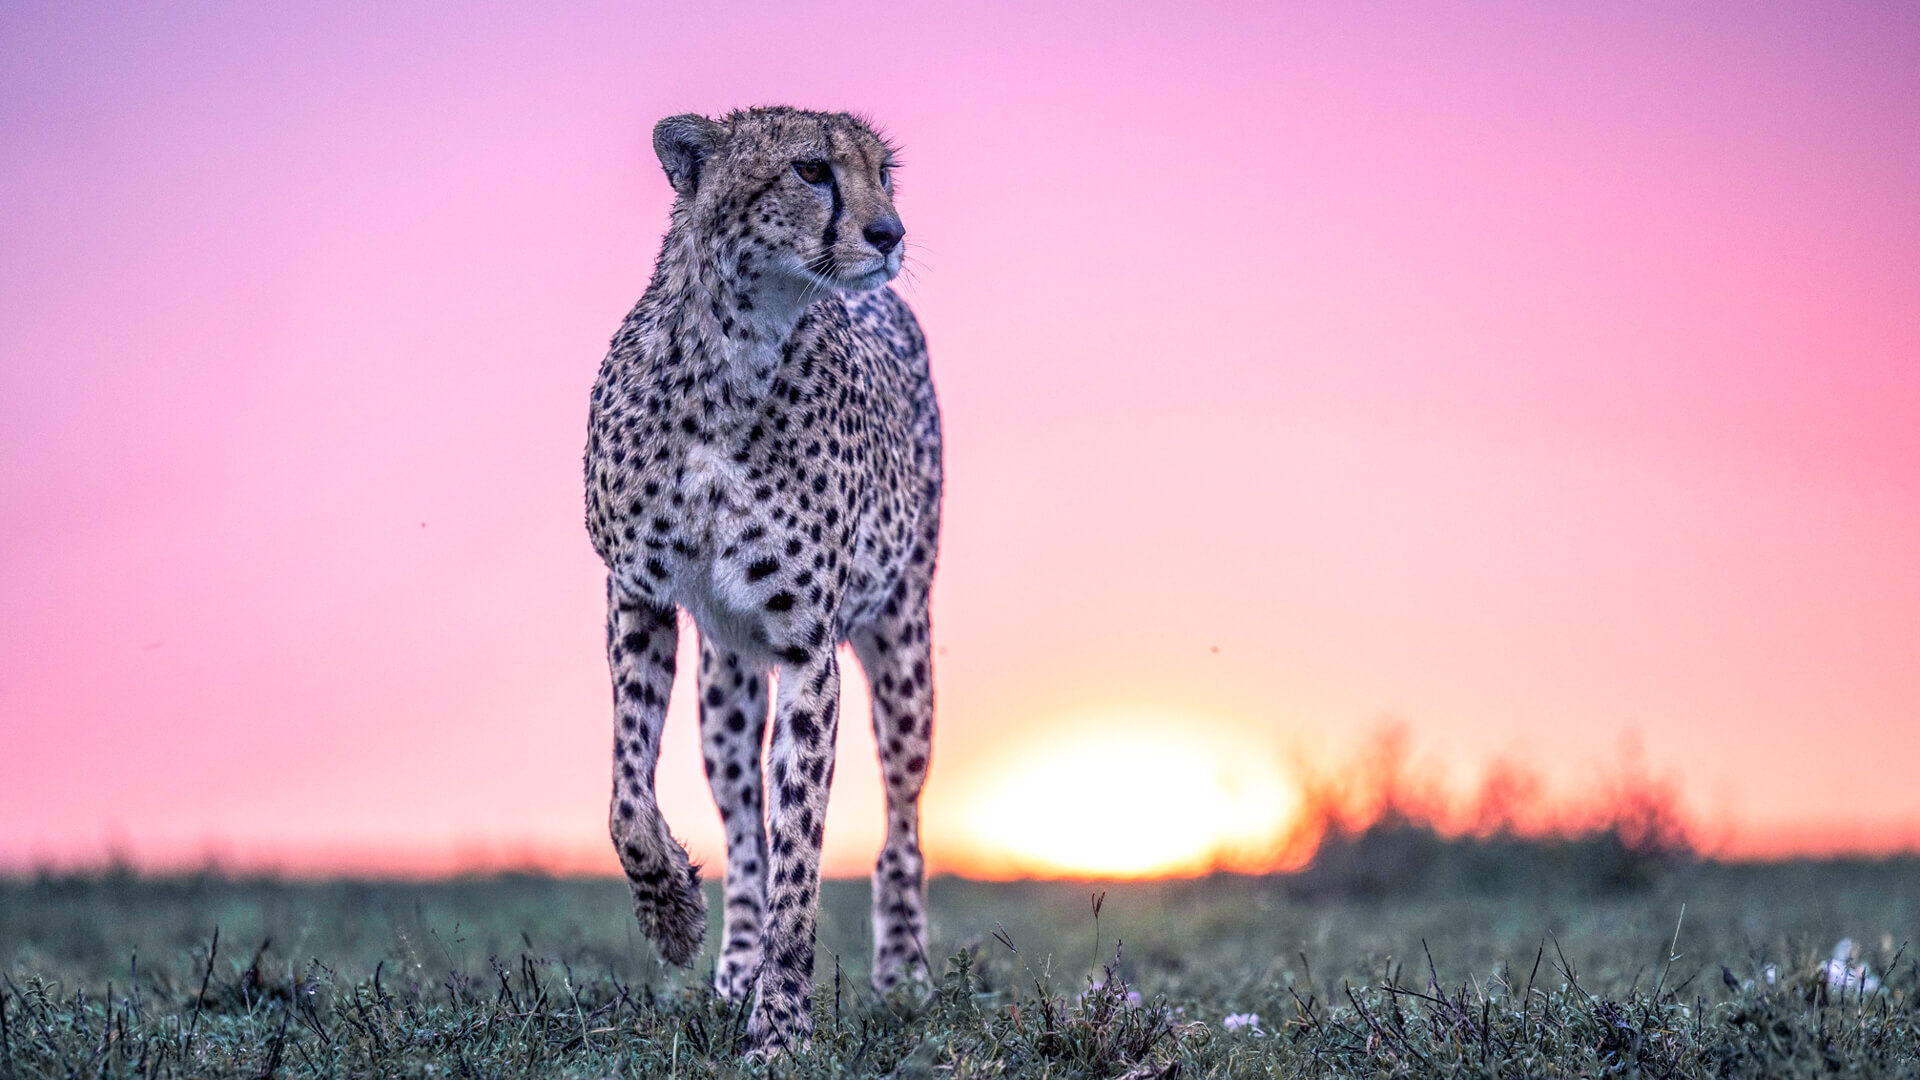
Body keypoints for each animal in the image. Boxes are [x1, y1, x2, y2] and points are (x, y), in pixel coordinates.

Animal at [582, 105, 941, 1052]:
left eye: (884, 174)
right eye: (811, 169)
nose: (890, 232)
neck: (734, 358)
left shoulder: (806, 647)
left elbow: (802, 858)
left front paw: (780, 1026)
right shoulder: (637, 595)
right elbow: (629, 797)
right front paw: (672, 915)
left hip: (904, 643)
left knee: (901, 823)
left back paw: (905, 972)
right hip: (725, 684)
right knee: (744, 833)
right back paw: (732, 966)